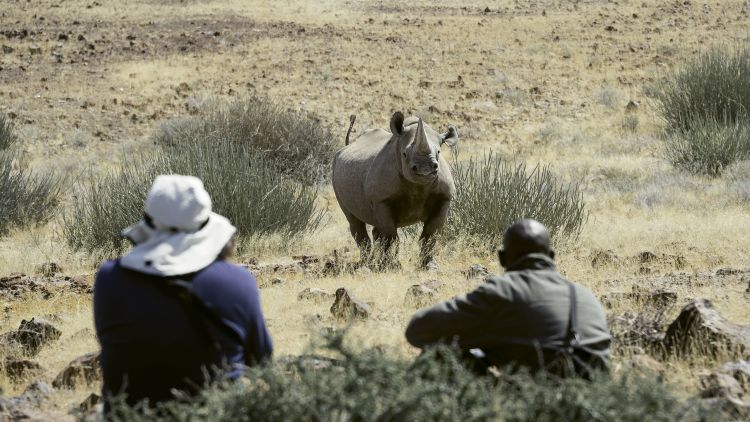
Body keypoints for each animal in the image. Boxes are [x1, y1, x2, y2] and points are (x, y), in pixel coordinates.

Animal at [332, 111, 458, 268]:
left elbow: (430, 235)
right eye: (404, 154)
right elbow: (391, 236)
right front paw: (392, 266)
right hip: (335, 169)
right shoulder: (381, 201)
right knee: (355, 221)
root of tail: (347, 146)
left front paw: (428, 266)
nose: (425, 169)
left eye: (439, 152)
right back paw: (366, 263)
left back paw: (376, 262)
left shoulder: (444, 198)